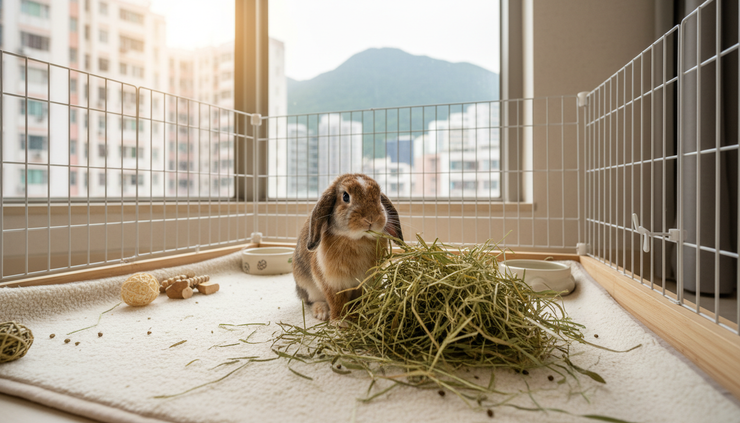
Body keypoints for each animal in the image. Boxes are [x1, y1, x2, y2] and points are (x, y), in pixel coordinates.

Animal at [292, 173, 403, 323]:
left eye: (379, 197)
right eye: (345, 196)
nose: (371, 218)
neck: (358, 240)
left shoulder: (365, 282)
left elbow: (360, 300)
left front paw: (361, 314)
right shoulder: (332, 282)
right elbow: (336, 301)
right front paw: (340, 321)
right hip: (309, 288)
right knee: (312, 301)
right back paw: (321, 312)